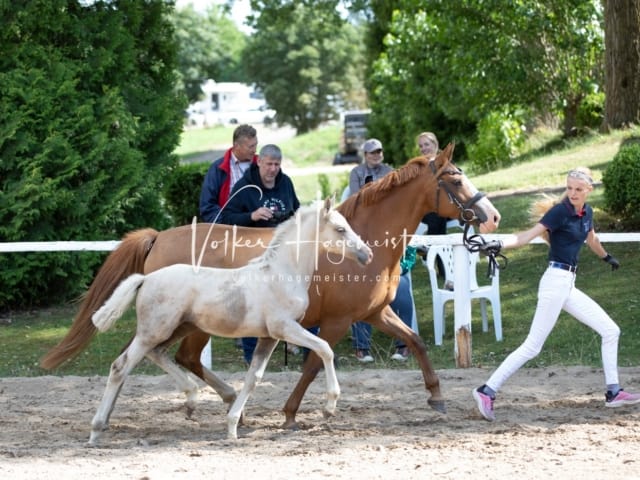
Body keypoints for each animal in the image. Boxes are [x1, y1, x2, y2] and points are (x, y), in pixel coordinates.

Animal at [87, 198, 372, 442]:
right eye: (340, 229)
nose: (367, 254)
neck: (281, 274)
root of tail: (146, 278)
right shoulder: (286, 328)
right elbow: (325, 349)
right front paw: (329, 406)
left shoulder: (269, 336)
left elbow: (253, 377)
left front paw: (233, 426)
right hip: (154, 330)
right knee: (121, 365)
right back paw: (97, 429)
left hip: (178, 328)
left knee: (156, 354)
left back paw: (191, 398)